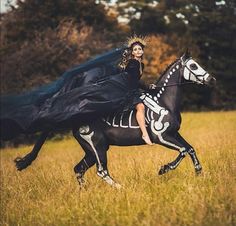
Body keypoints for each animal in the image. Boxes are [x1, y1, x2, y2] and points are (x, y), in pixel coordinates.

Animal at [13, 51, 215, 187]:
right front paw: (163, 169)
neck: (164, 101)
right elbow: (183, 151)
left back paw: (84, 193)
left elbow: (190, 148)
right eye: (193, 66)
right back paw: (120, 188)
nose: (211, 80)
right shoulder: (162, 137)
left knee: (78, 169)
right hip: (98, 147)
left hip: (92, 151)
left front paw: (199, 173)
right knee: (101, 171)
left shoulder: (174, 134)